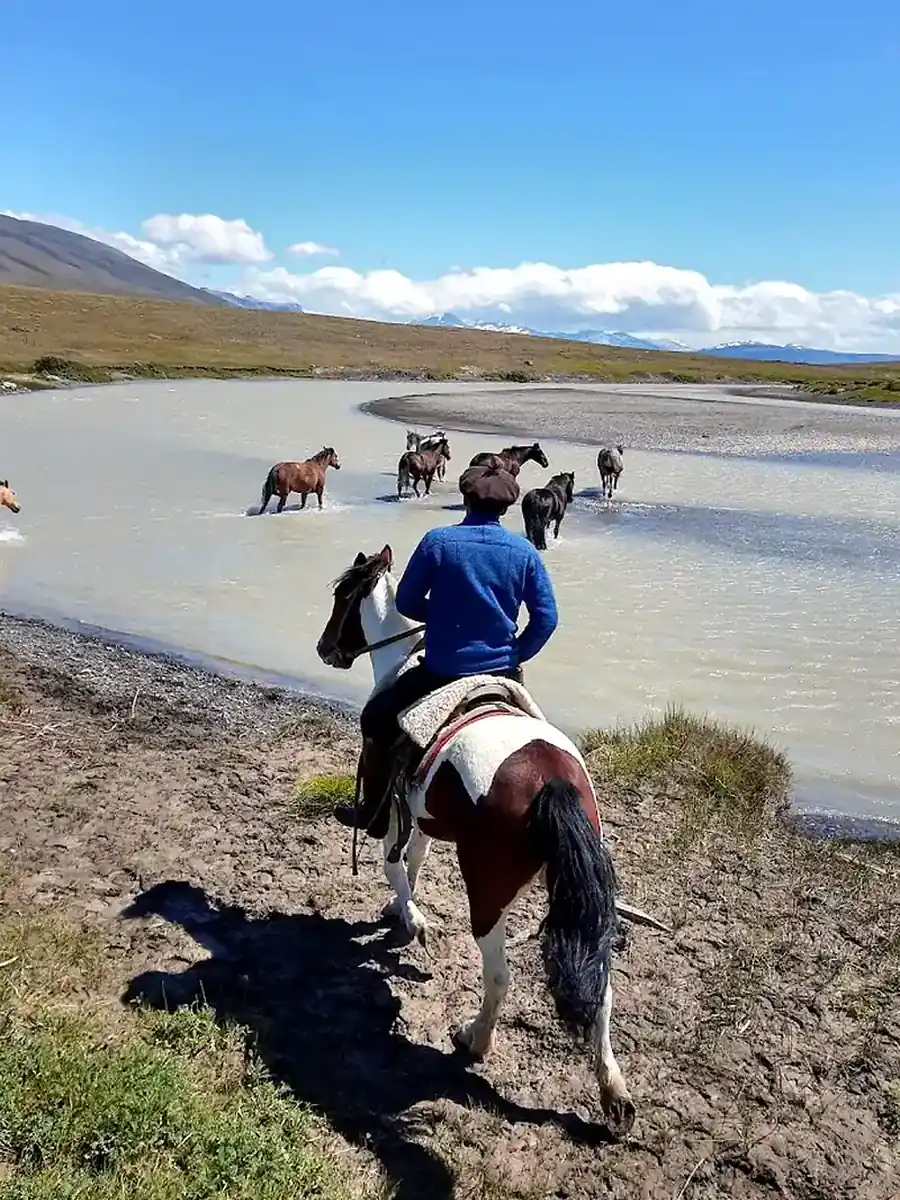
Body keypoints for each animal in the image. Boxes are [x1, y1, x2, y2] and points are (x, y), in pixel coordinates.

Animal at [315, 545, 667, 1138]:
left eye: (343, 597)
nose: (325, 648)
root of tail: (552, 782)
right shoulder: (422, 809)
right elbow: (413, 859)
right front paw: (400, 912)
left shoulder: (392, 801)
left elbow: (394, 861)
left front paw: (415, 922)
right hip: (578, 899)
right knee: (599, 985)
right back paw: (613, 1093)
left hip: (486, 892)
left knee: (499, 975)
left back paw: (473, 1040)